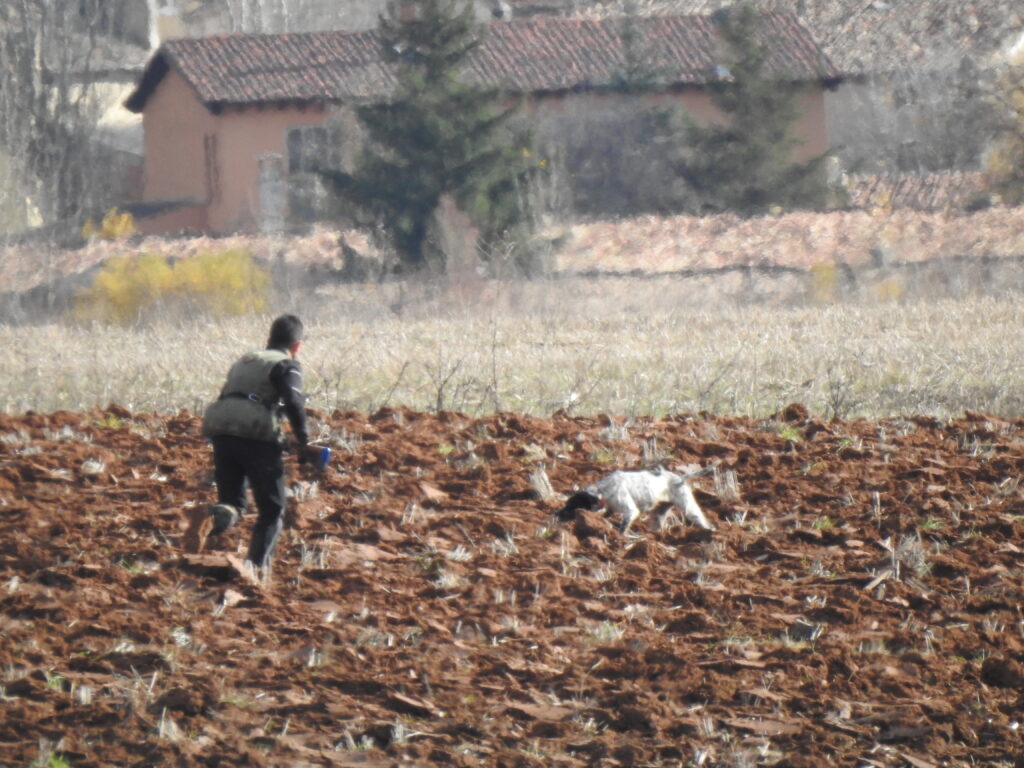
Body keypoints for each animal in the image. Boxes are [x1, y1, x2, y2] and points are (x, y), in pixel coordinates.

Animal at [557, 468, 716, 536]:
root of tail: (680, 478)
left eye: (573, 505)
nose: (556, 514)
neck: (604, 490)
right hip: (659, 513)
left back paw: (710, 532)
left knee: (699, 518)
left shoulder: (630, 511)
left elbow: (623, 528)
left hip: (688, 507)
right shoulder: (611, 508)